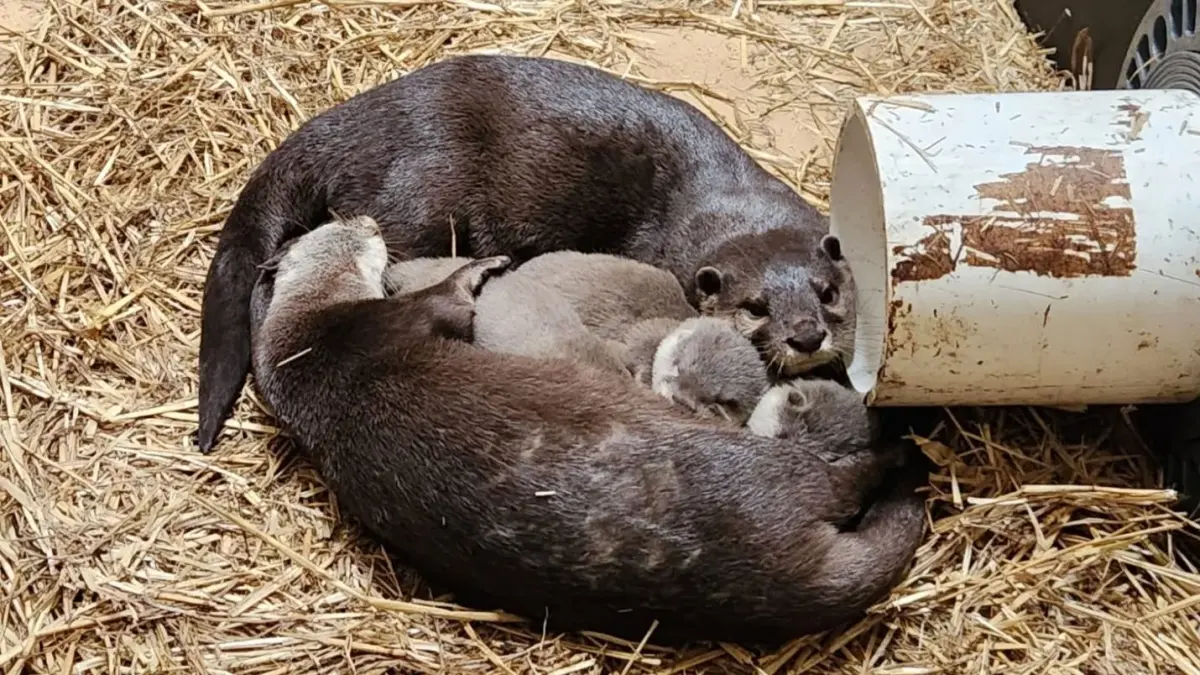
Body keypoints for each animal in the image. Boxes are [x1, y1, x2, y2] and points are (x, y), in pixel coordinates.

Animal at [198, 53, 848, 452]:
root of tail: (349, 125)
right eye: (755, 307)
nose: (806, 335)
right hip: (417, 200)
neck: (727, 202)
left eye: (829, 293)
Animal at [250, 218, 927, 647]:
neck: (304, 341)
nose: (368, 218)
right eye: (353, 234)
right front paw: (485, 264)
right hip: (768, 472)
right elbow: (452, 298)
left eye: (337, 223)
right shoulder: (394, 319)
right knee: (850, 477)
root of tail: (774, 573)